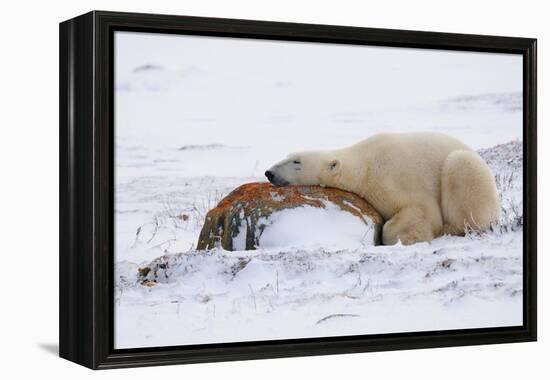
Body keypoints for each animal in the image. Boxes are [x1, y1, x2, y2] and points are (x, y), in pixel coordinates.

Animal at [266, 132, 502, 245]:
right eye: (287, 156)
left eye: (296, 161)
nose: (269, 172)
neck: (364, 165)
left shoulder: (396, 177)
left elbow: (422, 211)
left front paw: (407, 238)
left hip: (468, 171)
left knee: (461, 167)